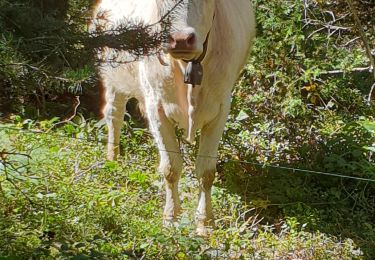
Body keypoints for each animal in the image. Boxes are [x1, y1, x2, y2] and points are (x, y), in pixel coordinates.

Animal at [92, 0, 256, 236]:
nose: (180, 39)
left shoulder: (221, 109)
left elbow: (206, 171)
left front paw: (205, 223)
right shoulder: (156, 107)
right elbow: (171, 168)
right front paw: (170, 219)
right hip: (113, 76)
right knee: (114, 114)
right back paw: (112, 160)